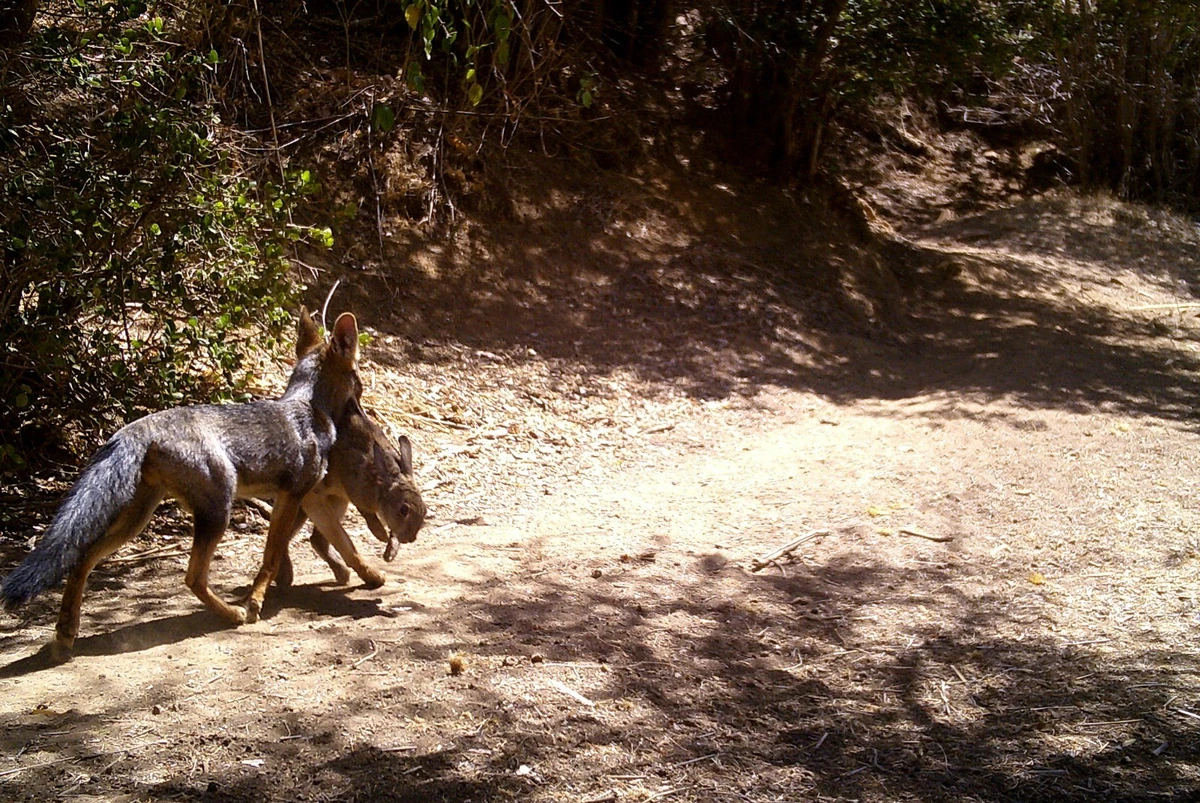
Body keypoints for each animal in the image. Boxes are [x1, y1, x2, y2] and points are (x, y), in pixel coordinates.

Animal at [3, 309, 360, 657]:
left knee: (82, 560)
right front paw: (256, 601)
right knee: (193, 578)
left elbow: (280, 550)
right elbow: (270, 557)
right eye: (358, 376)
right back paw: (232, 615)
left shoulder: (285, 497)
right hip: (217, 513)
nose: (362, 397)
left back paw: (65, 633)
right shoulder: (293, 494)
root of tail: (136, 428)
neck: (309, 407)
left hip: (136, 521)